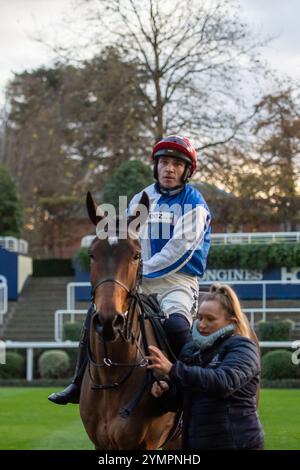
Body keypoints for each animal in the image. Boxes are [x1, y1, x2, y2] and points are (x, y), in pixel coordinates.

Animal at [78, 192, 179, 452]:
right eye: (92, 254)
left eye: (136, 255)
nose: (108, 320)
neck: (112, 375)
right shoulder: (100, 444)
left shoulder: (146, 444)